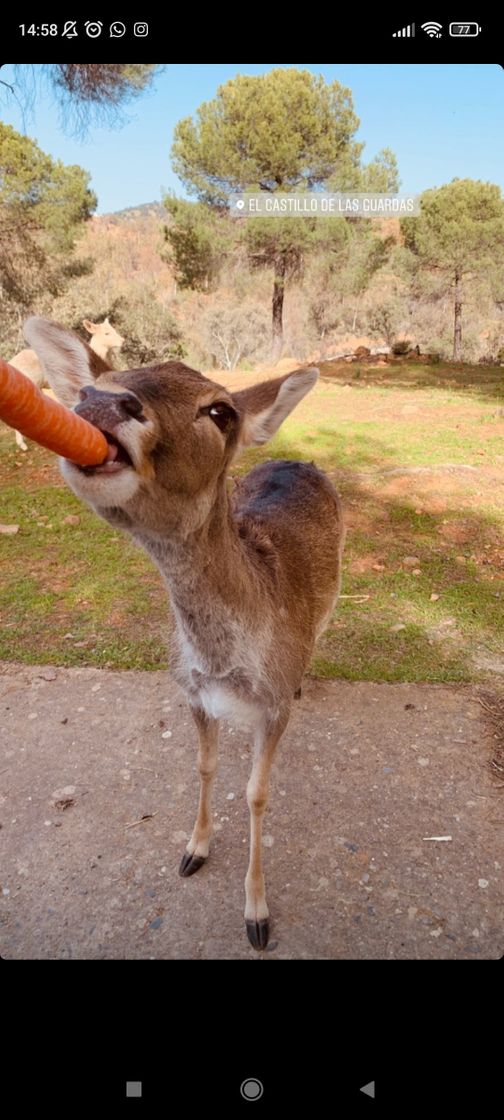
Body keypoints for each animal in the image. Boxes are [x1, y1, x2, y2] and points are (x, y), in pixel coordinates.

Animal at [24, 318, 347, 954]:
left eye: (220, 411)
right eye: (100, 382)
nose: (99, 403)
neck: (226, 663)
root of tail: (299, 458)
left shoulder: (272, 707)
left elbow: (257, 793)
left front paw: (257, 915)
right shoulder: (190, 690)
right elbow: (203, 766)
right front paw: (193, 851)